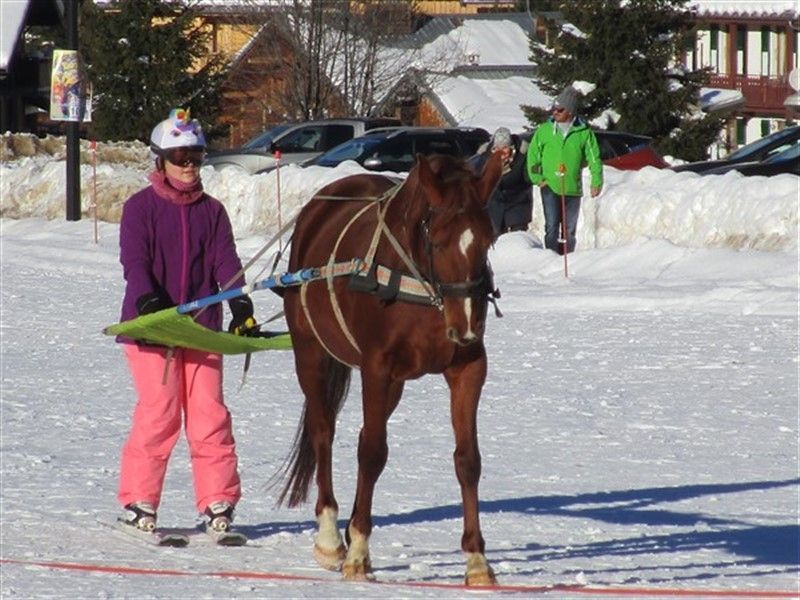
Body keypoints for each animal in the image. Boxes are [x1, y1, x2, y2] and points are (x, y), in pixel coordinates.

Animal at [278, 151, 504, 584]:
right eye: (438, 240)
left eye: (488, 240)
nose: (466, 326)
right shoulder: (376, 367)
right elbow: (372, 453)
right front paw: (357, 554)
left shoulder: (468, 366)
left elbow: (468, 459)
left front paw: (477, 560)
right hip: (311, 352)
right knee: (323, 431)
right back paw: (331, 536)